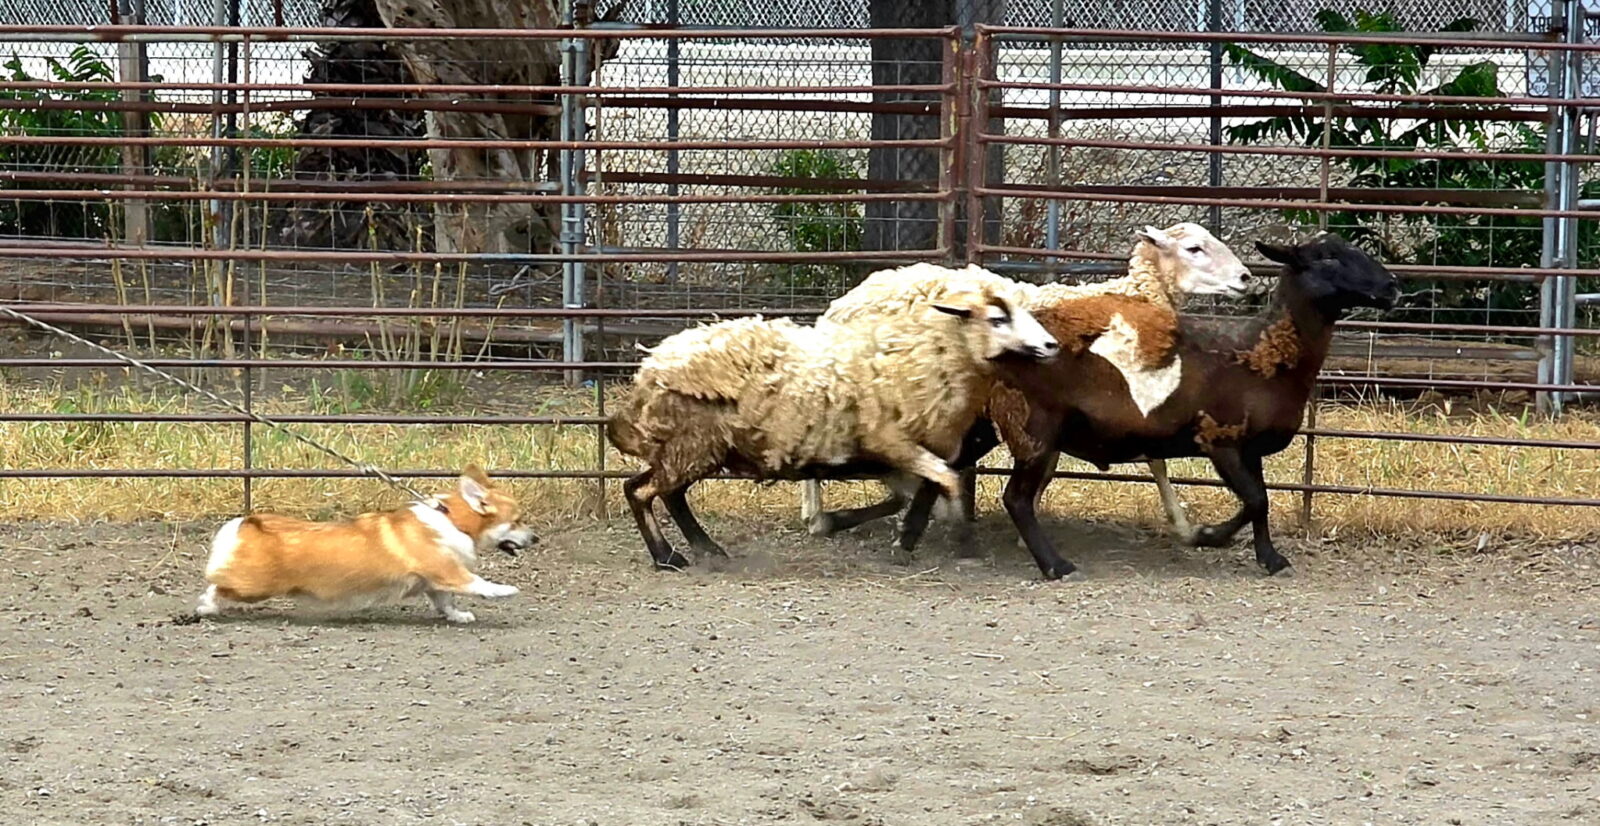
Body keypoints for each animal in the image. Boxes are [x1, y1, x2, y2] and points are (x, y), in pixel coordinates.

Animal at [605, 267, 1060, 570]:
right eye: (998, 318)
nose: (1051, 346)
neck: (919, 357)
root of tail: (651, 367)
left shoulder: (911, 451)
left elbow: (925, 487)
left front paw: (908, 532)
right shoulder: (892, 442)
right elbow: (944, 481)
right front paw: (957, 536)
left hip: (697, 446)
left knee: (668, 493)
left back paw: (705, 548)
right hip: (694, 443)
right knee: (640, 490)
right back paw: (668, 556)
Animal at [799, 222, 1256, 548]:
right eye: (1194, 248)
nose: (1246, 277)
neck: (1130, 297)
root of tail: (842, 304)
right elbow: (1153, 461)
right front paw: (1188, 527)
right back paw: (818, 515)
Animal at [983, 233, 1399, 580]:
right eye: (1328, 257)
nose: (1392, 286)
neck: (1263, 354)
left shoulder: (1250, 447)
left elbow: (1261, 502)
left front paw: (1263, 555)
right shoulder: (1219, 437)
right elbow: (1256, 500)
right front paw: (1212, 536)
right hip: (1033, 427)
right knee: (1017, 499)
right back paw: (1056, 566)